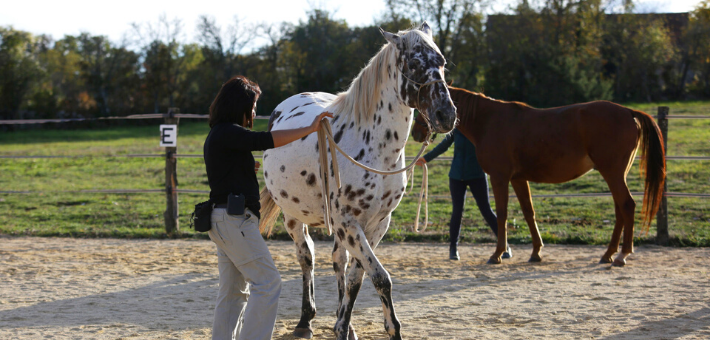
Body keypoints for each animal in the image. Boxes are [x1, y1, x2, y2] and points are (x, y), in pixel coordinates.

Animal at [260, 23, 456, 338]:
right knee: (306, 257)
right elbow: (380, 277)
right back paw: (305, 321)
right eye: (414, 64)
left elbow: (357, 278)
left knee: (337, 261)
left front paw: (346, 325)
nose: (446, 115)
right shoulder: (349, 224)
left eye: (442, 63)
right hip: (293, 217)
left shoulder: (376, 224)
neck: (374, 148)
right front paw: (377, 327)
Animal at [412, 86, 668, 266]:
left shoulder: (499, 177)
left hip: (613, 173)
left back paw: (622, 255)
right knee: (619, 210)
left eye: (422, 105)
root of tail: (628, 112)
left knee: (627, 206)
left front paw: (497, 254)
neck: (488, 120)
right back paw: (609, 254)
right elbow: (528, 212)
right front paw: (536, 252)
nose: (416, 133)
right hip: (615, 174)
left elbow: (502, 214)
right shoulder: (518, 178)